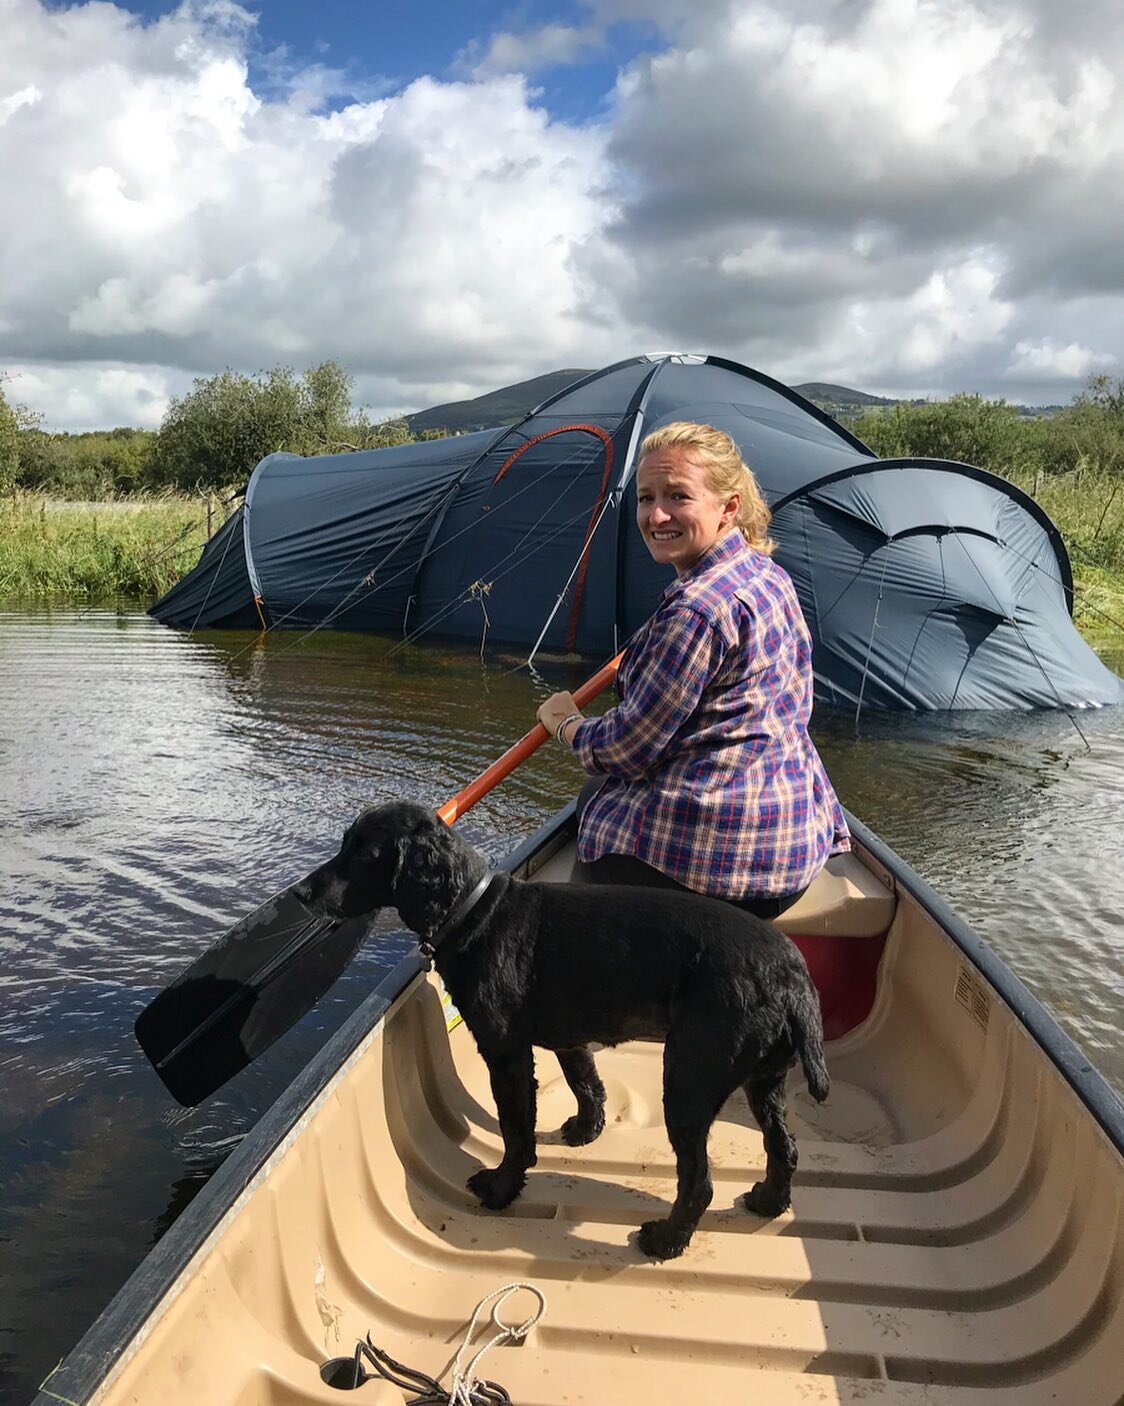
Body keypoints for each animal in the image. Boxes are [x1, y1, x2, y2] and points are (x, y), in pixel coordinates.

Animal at [294, 804, 832, 1265]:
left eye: (363, 851)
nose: (301, 893)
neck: (475, 913)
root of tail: (794, 978)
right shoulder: (569, 1040)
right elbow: (586, 1083)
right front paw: (585, 1130)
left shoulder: (506, 1052)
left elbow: (516, 1129)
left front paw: (501, 1188)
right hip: (764, 1079)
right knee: (784, 1148)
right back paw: (766, 1201)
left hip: (689, 1079)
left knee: (699, 1182)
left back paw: (664, 1241)